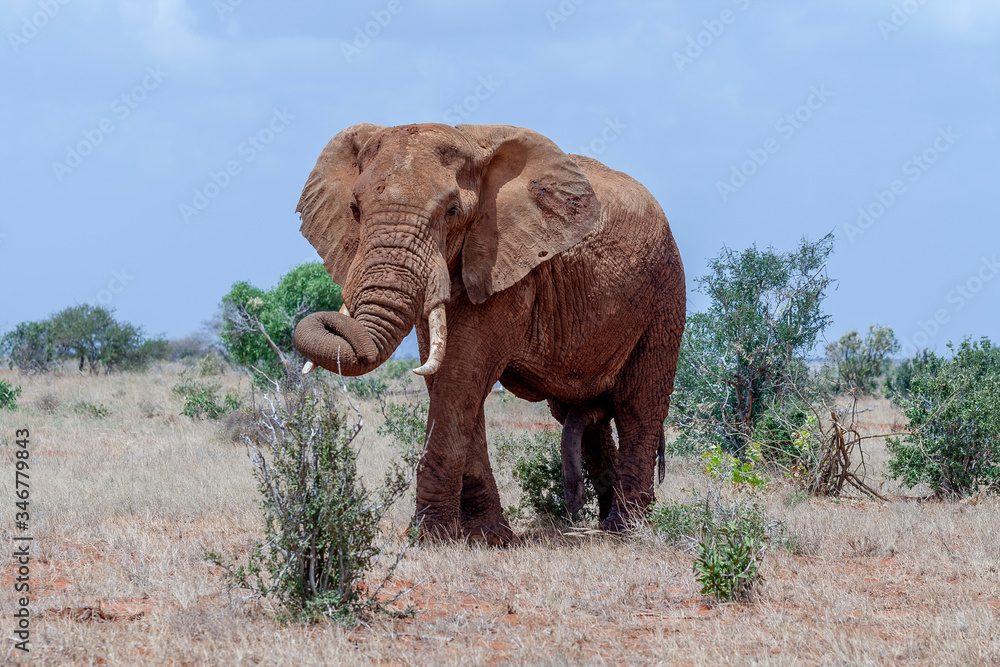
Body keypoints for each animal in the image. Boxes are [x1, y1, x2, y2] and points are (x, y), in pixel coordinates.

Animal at [292, 123, 685, 544]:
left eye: (452, 212)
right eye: (354, 210)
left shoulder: (507, 263)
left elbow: (460, 375)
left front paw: (431, 538)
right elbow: (450, 380)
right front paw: (488, 538)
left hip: (664, 293)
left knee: (637, 405)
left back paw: (624, 530)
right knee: (576, 412)